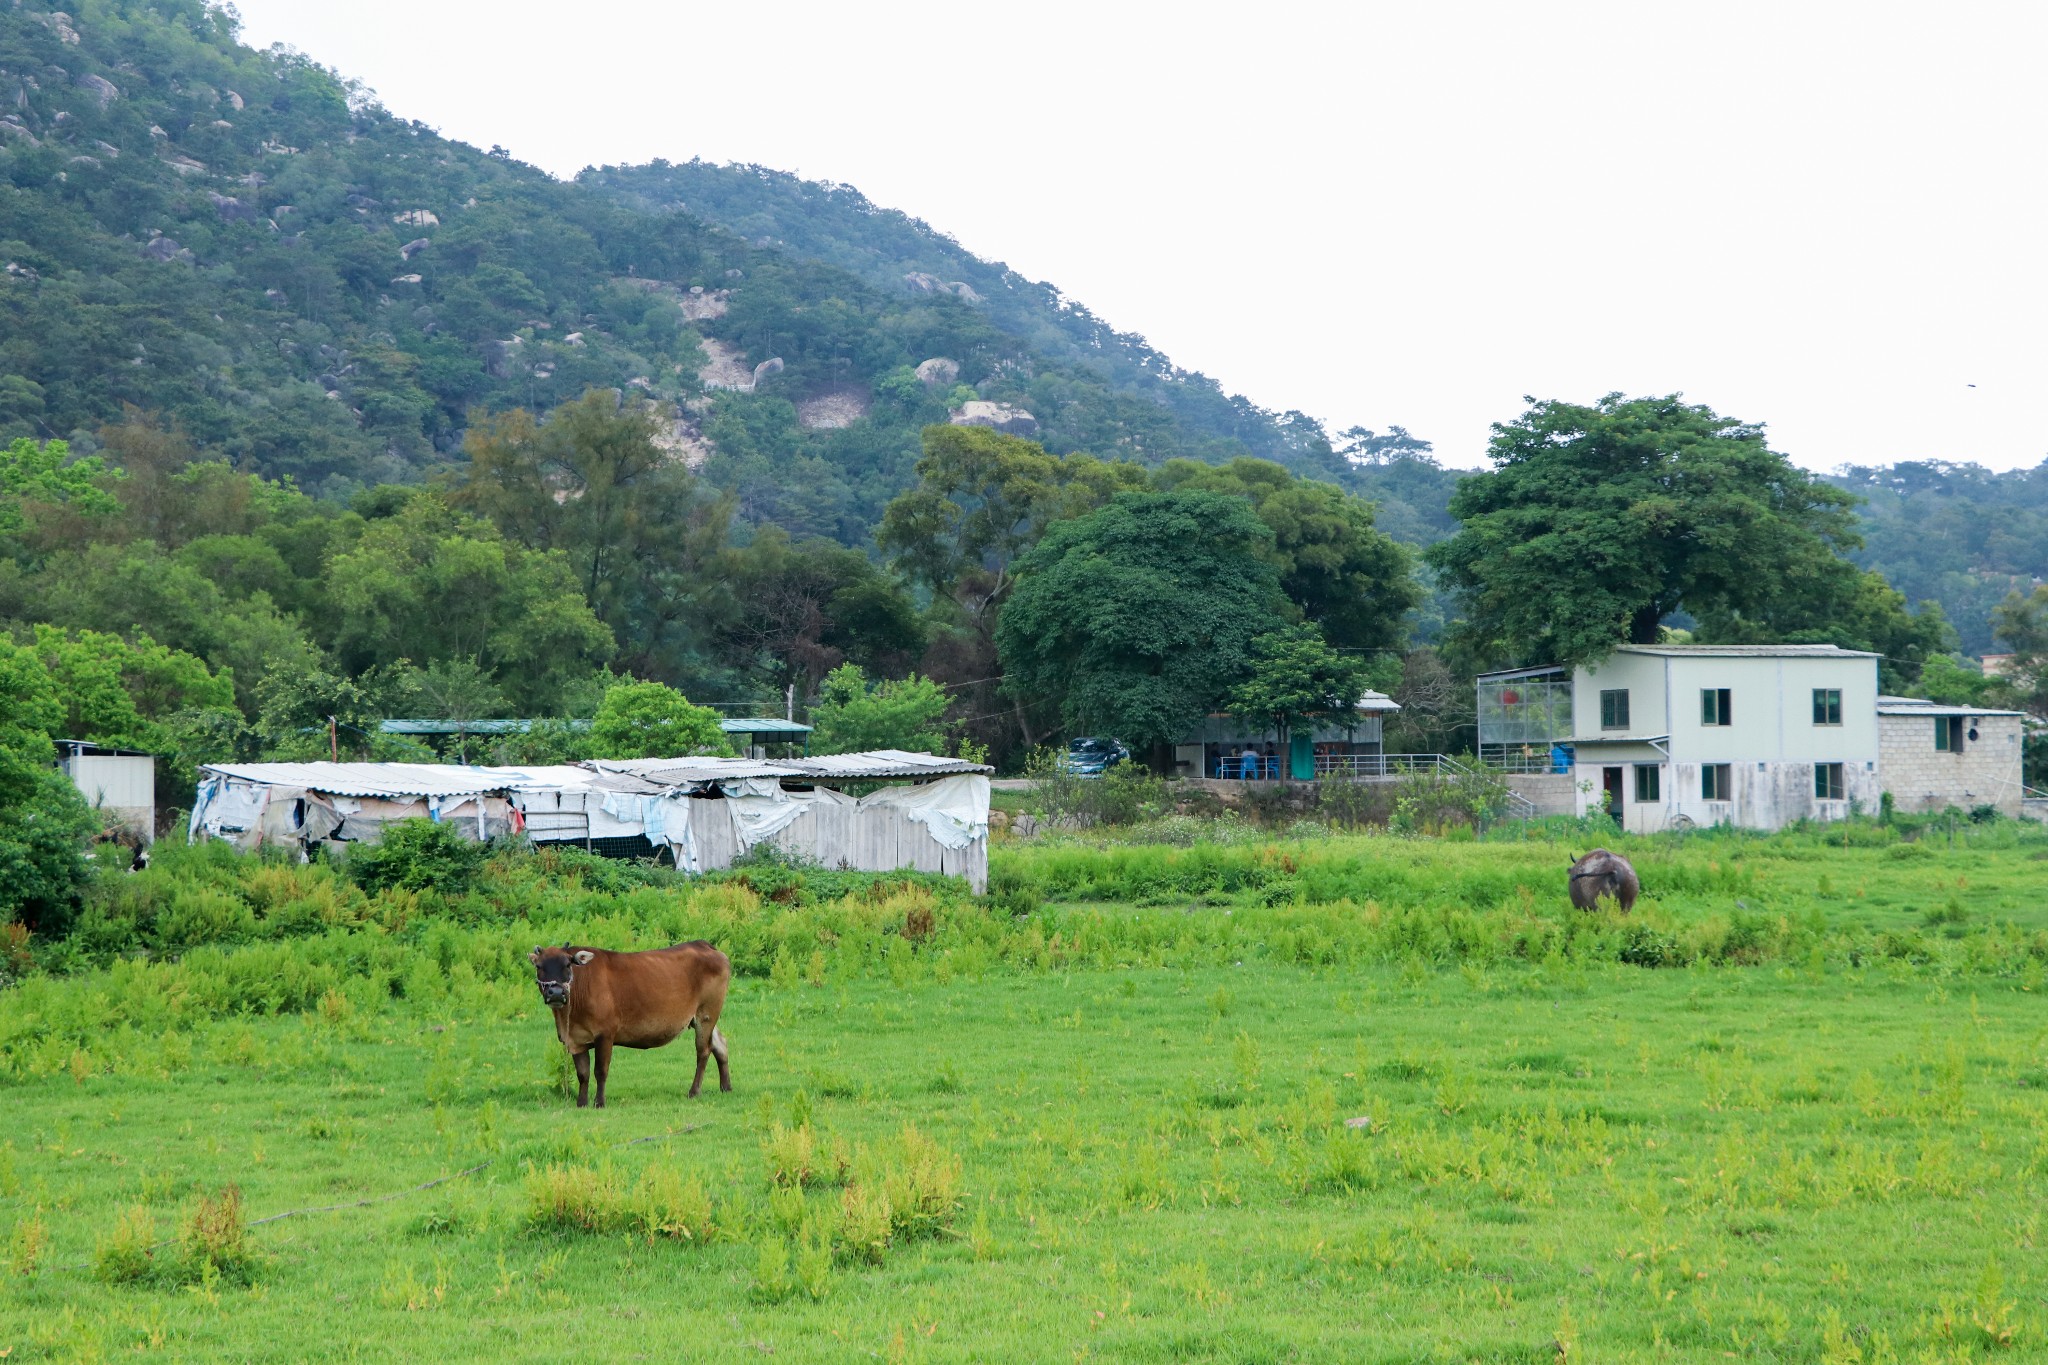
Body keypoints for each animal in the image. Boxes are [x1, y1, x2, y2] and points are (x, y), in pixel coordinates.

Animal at [532, 941, 733, 1113]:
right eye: (539, 966)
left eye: (567, 964)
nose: (556, 992)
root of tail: (704, 945)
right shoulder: (575, 1039)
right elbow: (583, 1073)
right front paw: (581, 1103)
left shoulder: (605, 1034)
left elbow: (600, 1071)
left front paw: (599, 1102)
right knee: (720, 1043)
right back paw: (726, 1087)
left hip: (706, 1012)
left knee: (703, 1050)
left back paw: (694, 1091)